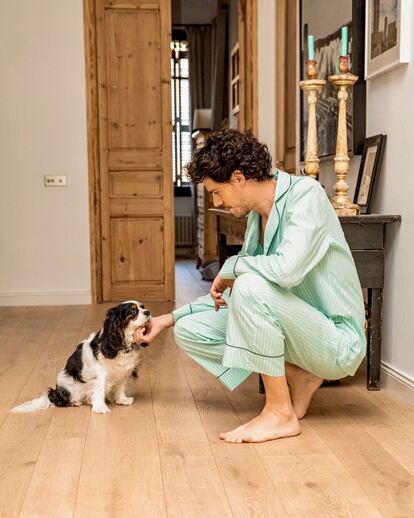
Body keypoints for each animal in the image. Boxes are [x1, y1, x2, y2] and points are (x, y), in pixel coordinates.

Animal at [10, 302, 150, 416]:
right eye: (133, 311)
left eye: (142, 307)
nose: (148, 311)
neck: (121, 343)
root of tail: (55, 392)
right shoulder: (100, 374)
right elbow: (99, 389)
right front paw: (100, 407)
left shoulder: (124, 372)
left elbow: (120, 387)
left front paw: (122, 400)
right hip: (68, 387)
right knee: (59, 400)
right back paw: (74, 402)